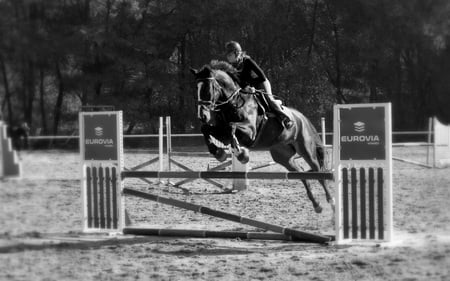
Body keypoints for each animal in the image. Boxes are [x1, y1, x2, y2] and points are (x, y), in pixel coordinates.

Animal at [190, 61, 334, 212]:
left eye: (207, 89)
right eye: (196, 88)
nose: (202, 116)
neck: (233, 102)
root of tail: (302, 117)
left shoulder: (250, 132)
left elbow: (231, 127)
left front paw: (241, 154)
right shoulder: (221, 131)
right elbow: (206, 129)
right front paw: (219, 153)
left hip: (305, 149)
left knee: (318, 171)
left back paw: (331, 201)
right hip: (282, 155)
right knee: (300, 173)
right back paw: (317, 205)